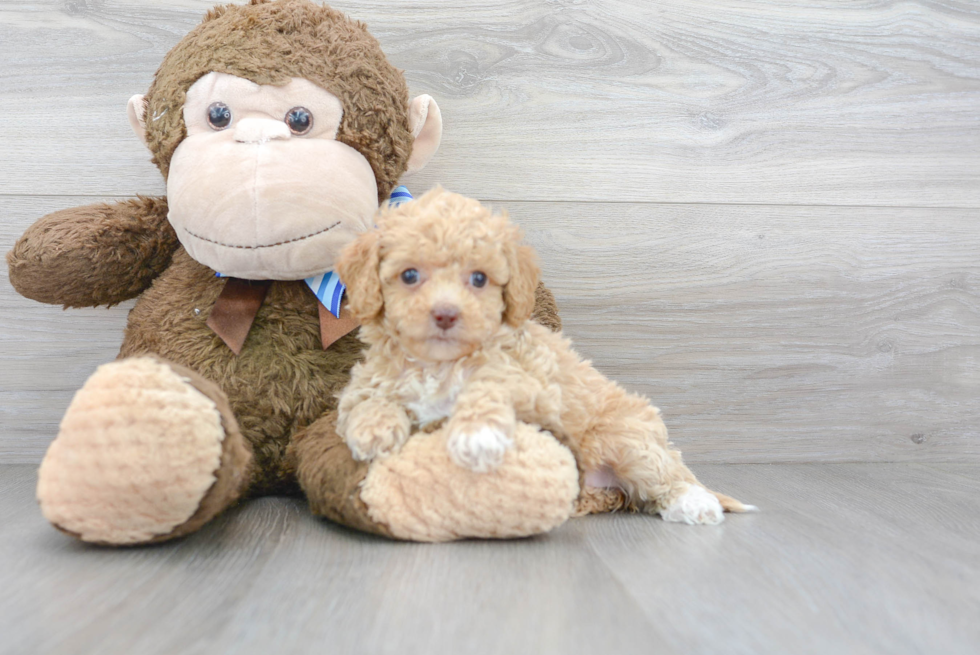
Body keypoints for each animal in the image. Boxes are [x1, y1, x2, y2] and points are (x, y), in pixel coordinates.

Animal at [334, 187, 756, 524]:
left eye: (479, 279)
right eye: (409, 275)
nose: (446, 314)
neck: (437, 365)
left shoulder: (534, 389)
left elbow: (488, 385)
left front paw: (477, 435)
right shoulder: (366, 382)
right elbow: (367, 399)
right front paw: (373, 429)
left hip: (625, 440)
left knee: (667, 477)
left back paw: (695, 504)